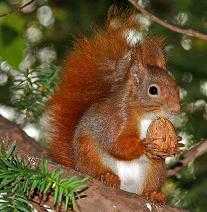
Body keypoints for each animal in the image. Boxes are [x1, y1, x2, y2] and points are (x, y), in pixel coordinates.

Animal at [45, 14, 181, 204]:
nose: (176, 109)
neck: (146, 116)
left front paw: (178, 143)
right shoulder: (116, 119)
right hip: (89, 153)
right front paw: (145, 146)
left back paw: (154, 194)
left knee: (150, 183)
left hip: (155, 170)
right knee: (95, 169)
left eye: (176, 86)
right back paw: (107, 176)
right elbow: (115, 145)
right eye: (153, 90)